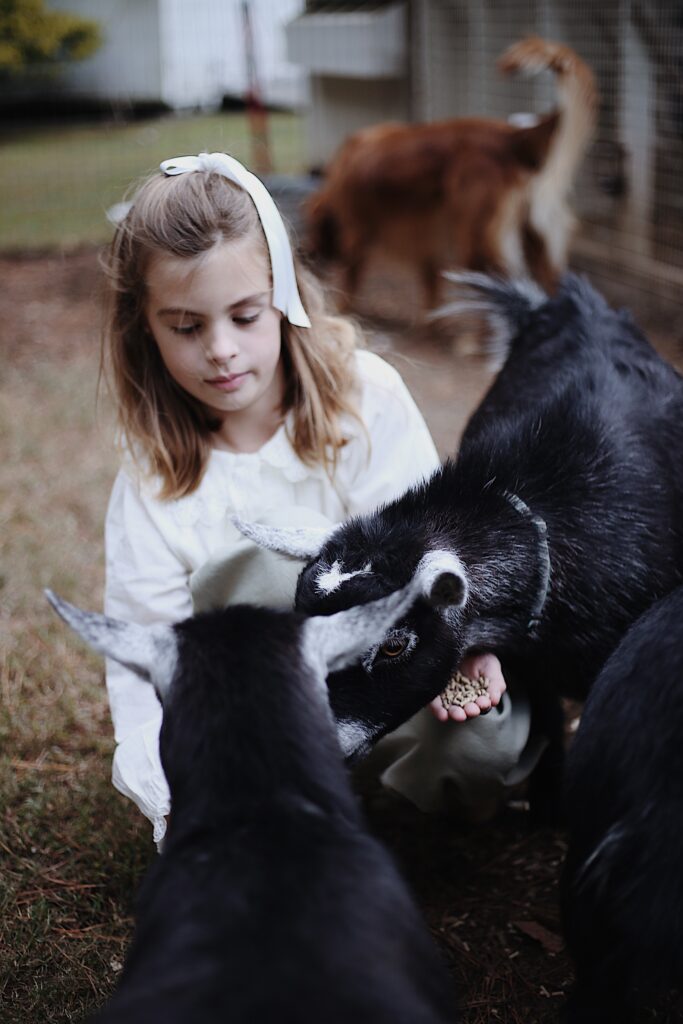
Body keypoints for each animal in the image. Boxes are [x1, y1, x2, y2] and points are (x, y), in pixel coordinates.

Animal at [307, 37, 593, 311]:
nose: (308, 256)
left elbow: (351, 275)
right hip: (533, 242)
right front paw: (430, 318)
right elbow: (430, 284)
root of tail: (512, 137)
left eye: (314, 229)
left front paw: (340, 306)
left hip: (479, 245)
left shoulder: (357, 230)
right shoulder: (427, 234)